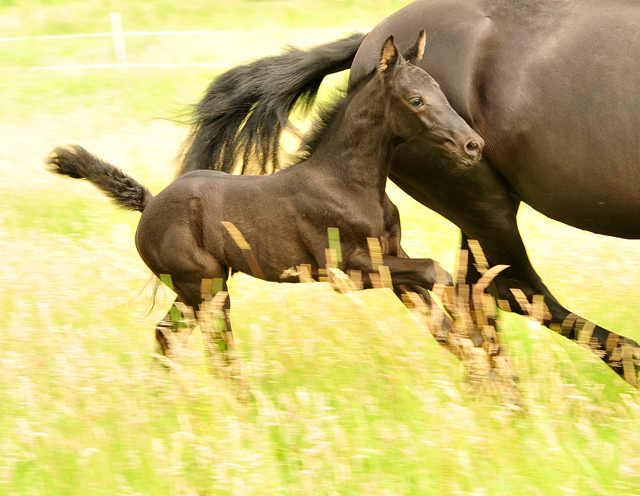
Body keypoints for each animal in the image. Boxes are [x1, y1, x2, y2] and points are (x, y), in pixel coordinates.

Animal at [47, 35, 482, 360]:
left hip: (194, 289)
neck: (347, 182)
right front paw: (477, 337)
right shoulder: (349, 270)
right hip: (204, 286)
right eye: (415, 100)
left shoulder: (391, 256)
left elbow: (437, 314)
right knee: (218, 351)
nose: (473, 145)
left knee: (168, 336)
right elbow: (436, 272)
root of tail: (149, 203)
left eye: (441, 91)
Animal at [178, 0, 640, 386]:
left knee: (480, 294)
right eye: (415, 100)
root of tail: (368, 38)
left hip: (473, 211)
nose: (472, 145)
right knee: (510, 289)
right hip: (480, 201)